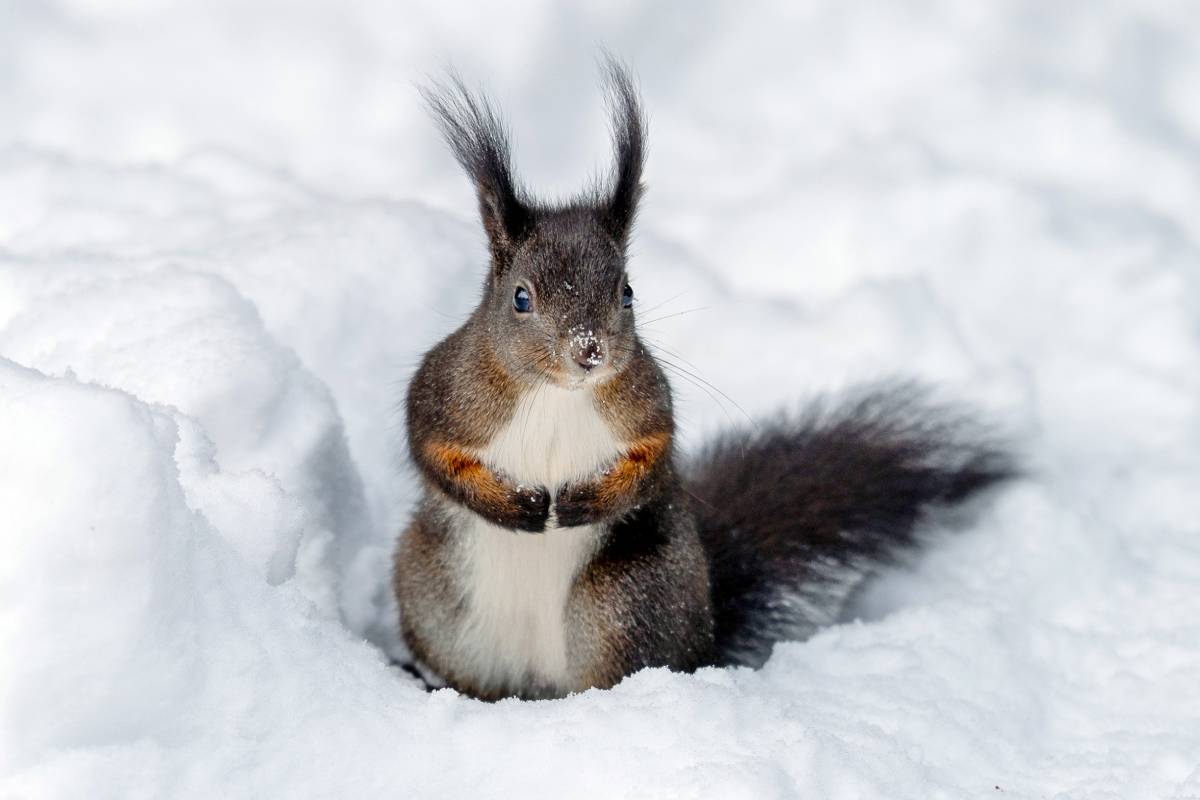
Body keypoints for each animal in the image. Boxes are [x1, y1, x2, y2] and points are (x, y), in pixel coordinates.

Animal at [392, 59, 1013, 701]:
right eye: (521, 298)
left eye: (627, 291)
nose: (590, 351)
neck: (558, 394)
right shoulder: (448, 391)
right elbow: (431, 449)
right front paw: (517, 506)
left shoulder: (646, 402)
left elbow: (653, 456)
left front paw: (585, 501)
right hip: (435, 598)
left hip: (623, 600)